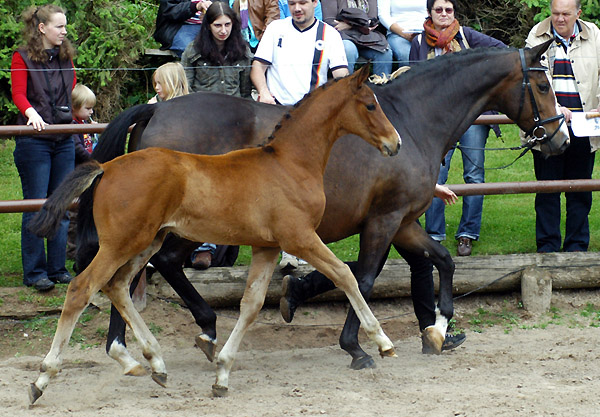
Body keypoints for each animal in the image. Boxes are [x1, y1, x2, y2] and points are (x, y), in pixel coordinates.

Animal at [29, 66, 404, 404]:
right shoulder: (299, 238)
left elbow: (251, 305)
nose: (395, 143)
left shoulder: (266, 247)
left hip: (147, 241)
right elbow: (346, 275)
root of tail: (106, 168)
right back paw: (43, 378)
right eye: (370, 105)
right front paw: (382, 343)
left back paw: (153, 362)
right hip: (122, 243)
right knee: (83, 288)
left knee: (118, 286)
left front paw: (222, 373)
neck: (288, 164)